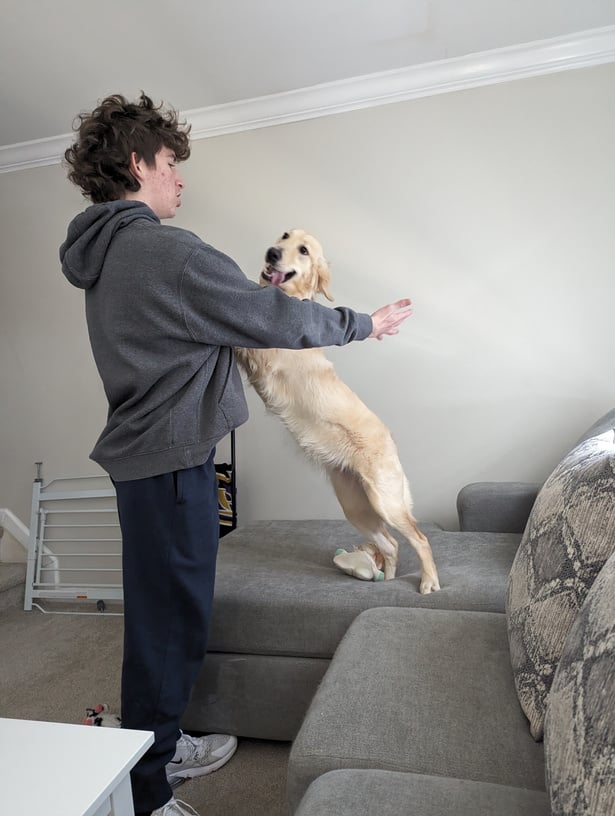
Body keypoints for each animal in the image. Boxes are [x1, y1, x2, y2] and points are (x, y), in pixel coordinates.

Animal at [233, 230, 440, 592]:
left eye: (303, 250)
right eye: (284, 236)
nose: (272, 253)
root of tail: (392, 442)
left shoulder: (259, 345)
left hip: (385, 501)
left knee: (419, 538)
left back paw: (428, 581)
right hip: (356, 505)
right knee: (392, 544)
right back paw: (386, 579)